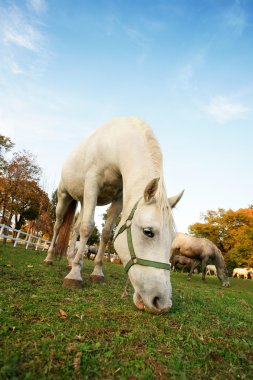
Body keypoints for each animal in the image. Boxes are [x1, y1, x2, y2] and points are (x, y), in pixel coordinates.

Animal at [44, 118, 184, 314]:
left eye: (172, 238)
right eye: (148, 232)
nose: (162, 303)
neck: (114, 145)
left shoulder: (119, 197)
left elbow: (106, 232)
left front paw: (96, 272)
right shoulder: (92, 184)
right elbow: (88, 227)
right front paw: (75, 275)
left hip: (83, 199)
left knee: (75, 228)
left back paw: (70, 260)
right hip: (64, 196)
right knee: (59, 225)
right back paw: (50, 258)